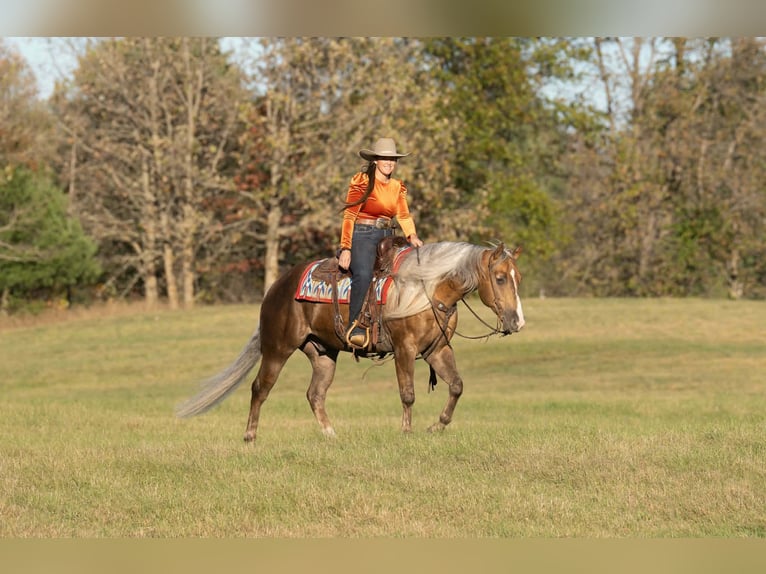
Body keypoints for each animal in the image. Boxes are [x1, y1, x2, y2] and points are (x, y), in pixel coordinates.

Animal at [175, 240, 525, 441]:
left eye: (517, 277)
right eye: (499, 278)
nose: (517, 321)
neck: (425, 289)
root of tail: (277, 286)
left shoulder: (437, 349)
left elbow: (456, 386)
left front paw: (436, 426)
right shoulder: (405, 349)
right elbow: (408, 393)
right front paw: (406, 431)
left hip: (323, 353)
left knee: (315, 394)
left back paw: (331, 435)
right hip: (277, 347)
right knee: (260, 388)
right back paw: (250, 436)